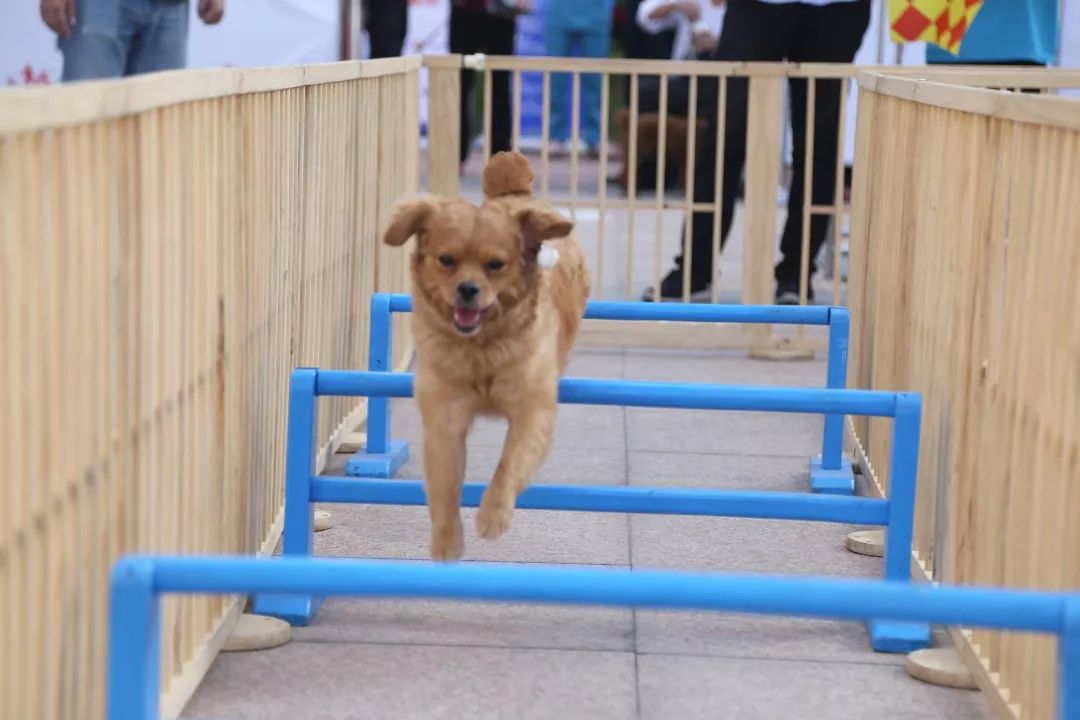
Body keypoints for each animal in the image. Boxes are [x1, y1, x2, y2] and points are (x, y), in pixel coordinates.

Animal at [380, 152, 591, 561]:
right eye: (446, 260)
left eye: (496, 265)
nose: (467, 289)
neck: (481, 349)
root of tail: (515, 193)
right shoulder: (444, 416)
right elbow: (444, 486)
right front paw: (446, 541)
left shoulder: (532, 410)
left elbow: (508, 464)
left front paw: (493, 515)